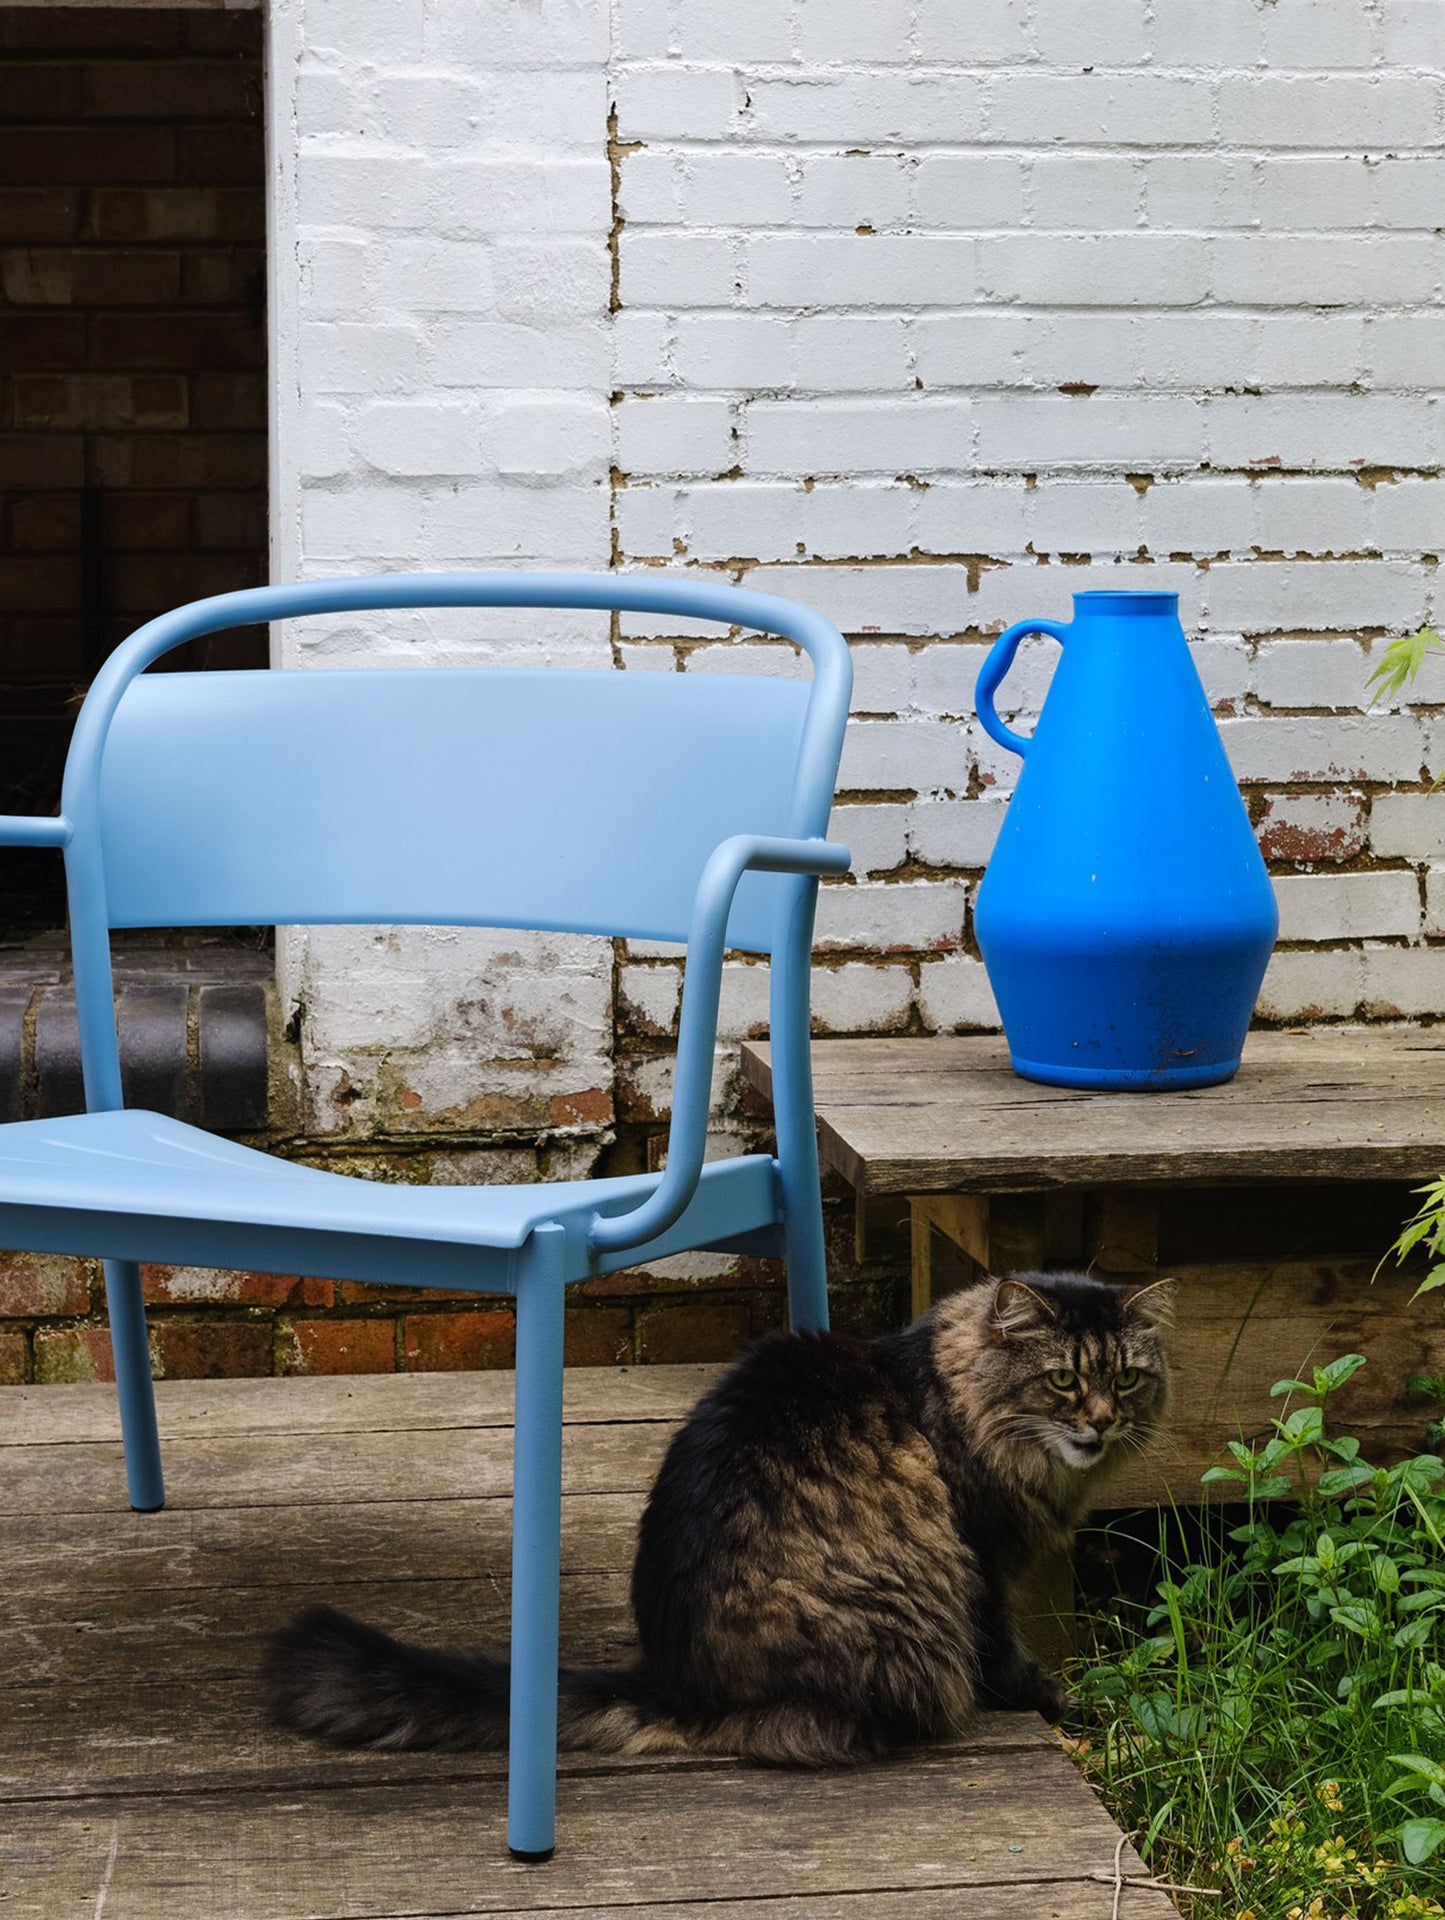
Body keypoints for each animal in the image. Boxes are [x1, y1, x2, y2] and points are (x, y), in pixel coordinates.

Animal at [264, 1274, 1166, 1766]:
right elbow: (1004, 1650)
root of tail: (673, 1682)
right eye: (1060, 1381)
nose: (1100, 1422)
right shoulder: (981, 1560)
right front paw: (1047, 1699)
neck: (951, 1396)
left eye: (1124, 1379)